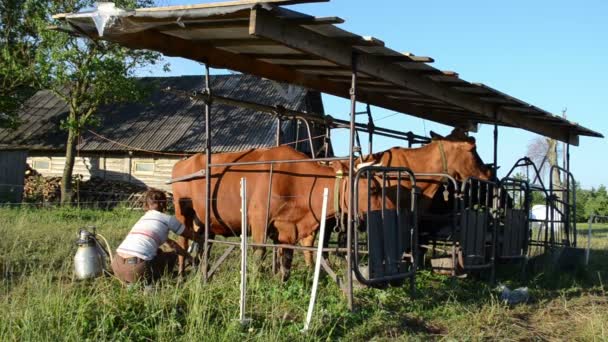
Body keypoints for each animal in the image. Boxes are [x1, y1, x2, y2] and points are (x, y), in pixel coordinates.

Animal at [170, 144, 384, 280]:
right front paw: (255, 282)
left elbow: (287, 261)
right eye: (373, 189)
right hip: (183, 212)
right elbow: (259, 253)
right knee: (183, 241)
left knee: (202, 242)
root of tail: (184, 160)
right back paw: (181, 275)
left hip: (205, 220)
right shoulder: (258, 219)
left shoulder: (288, 228)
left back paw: (201, 271)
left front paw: (282, 283)